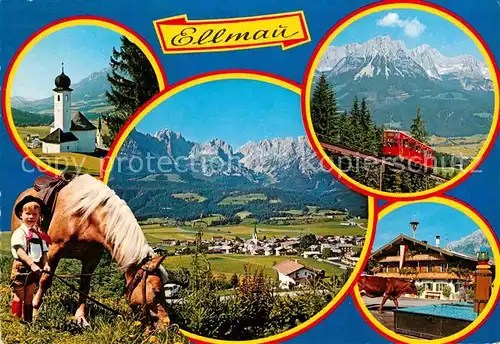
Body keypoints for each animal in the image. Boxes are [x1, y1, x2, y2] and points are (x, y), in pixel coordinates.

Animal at [11, 173, 170, 326]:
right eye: (157, 291)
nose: (166, 324)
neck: (85, 219)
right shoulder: (53, 251)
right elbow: (45, 280)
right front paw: (35, 312)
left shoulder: (91, 260)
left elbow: (84, 287)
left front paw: (81, 318)